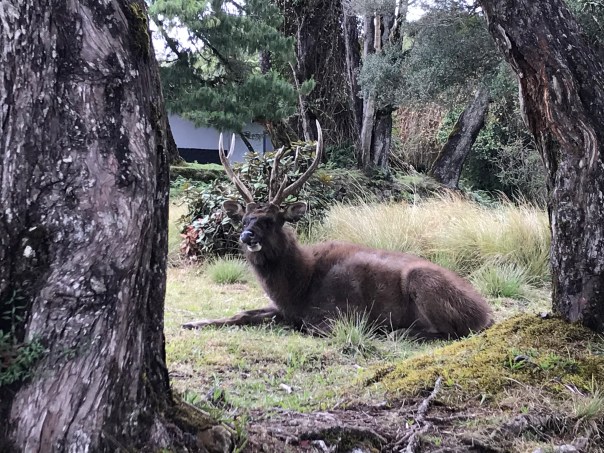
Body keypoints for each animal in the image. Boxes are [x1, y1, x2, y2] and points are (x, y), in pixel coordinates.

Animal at [182, 122, 493, 339]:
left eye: (272, 219)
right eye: (245, 219)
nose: (247, 236)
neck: (298, 285)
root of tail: (486, 313)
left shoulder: (338, 312)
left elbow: (306, 326)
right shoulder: (283, 307)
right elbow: (242, 313)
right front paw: (192, 322)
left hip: (425, 283)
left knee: (449, 332)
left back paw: (393, 331)